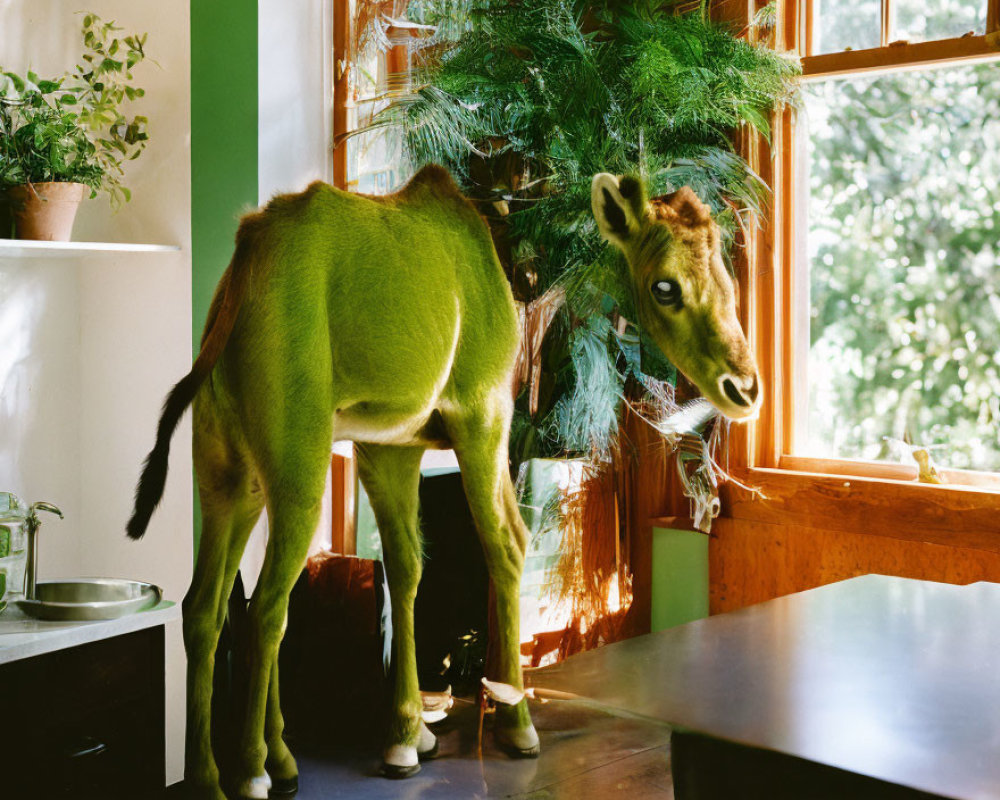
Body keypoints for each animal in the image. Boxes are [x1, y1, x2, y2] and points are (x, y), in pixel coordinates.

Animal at [129, 166, 760, 796]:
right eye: (665, 287)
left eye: (726, 274)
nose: (744, 387)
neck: (514, 280)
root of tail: (237, 282)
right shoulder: (481, 413)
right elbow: (507, 545)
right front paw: (515, 725)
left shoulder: (391, 445)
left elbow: (408, 567)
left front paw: (410, 736)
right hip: (296, 463)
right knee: (266, 608)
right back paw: (256, 771)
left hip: (230, 475)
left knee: (205, 607)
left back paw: (216, 774)